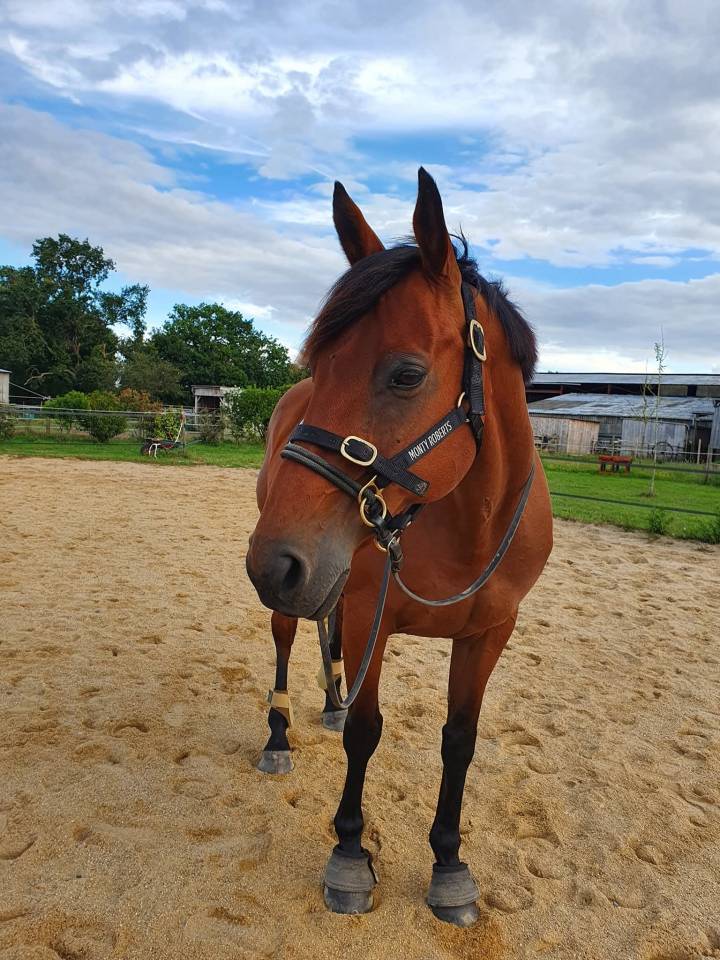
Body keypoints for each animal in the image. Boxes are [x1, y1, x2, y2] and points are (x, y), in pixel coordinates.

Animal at [246, 168, 553, 926]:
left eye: (406, 375)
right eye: (321, 362)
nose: (272, 562)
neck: (469, 524)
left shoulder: (488, 633)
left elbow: (459, 740)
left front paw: (449, 866)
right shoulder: (372, 615)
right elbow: (367, 730)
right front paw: (350, 856)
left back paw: (328, 700)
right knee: (288, 639)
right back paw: (278, 735)